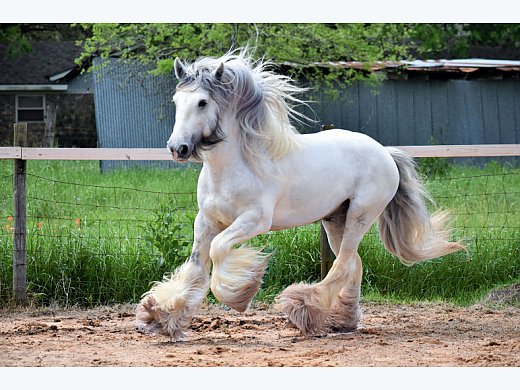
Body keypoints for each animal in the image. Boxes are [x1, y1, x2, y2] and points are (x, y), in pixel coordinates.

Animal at [135, 49, 464, 342]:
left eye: (203, 102)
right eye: (177, 100)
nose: (177, 148)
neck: (234, 167)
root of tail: (384, 151)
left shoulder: (254, 221)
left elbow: (218, 251)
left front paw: (239, 295)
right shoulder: (206, 221)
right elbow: (195, 267)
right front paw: (160, 316)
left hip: (361, 215)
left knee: (343, 264)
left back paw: (303, 307)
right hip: (335, 220)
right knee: (353, 264)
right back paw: (342, 321)